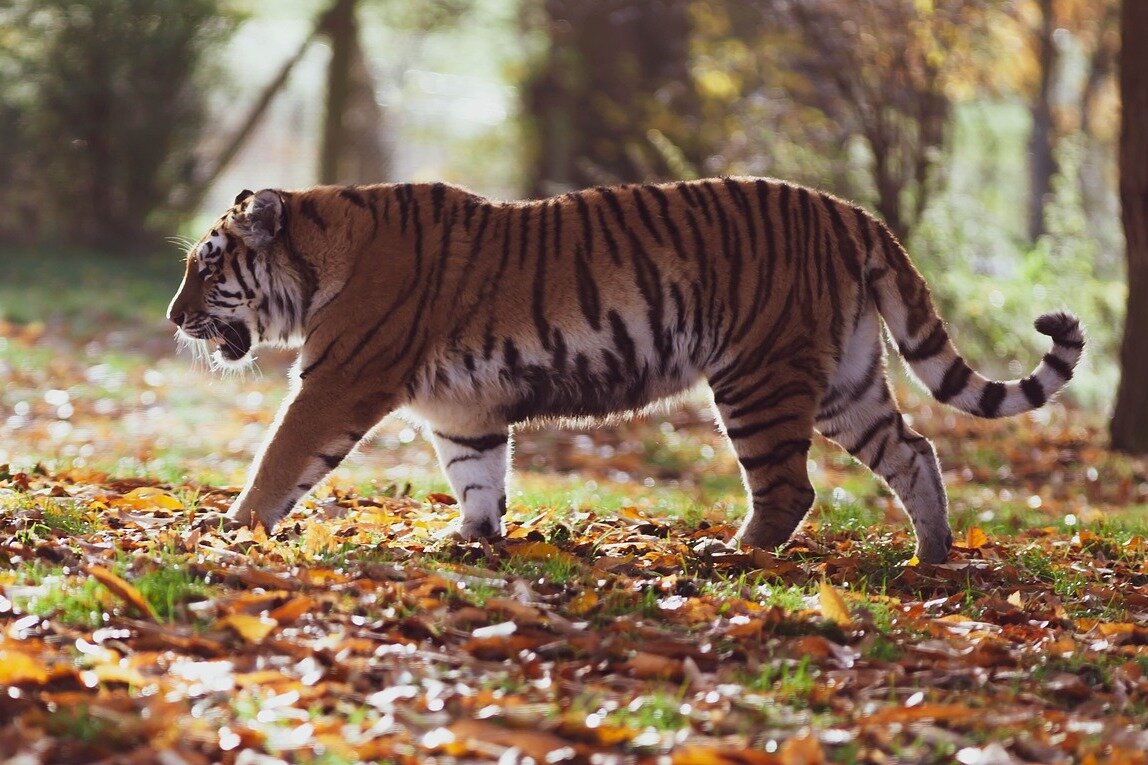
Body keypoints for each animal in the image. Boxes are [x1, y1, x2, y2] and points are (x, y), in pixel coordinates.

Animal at [167, 176, 1083, 560]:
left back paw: (733, 554)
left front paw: (231, 526)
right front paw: (469, 537)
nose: (174, 319)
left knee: (790, 487)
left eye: (207, 269)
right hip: (845, 382)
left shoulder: (337, 382)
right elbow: (478, 474)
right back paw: (932, 556)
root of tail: (851, 212)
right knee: (914, 452)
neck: (322, 253)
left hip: (758, 376)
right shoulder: (463, 410)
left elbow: (280, 457)